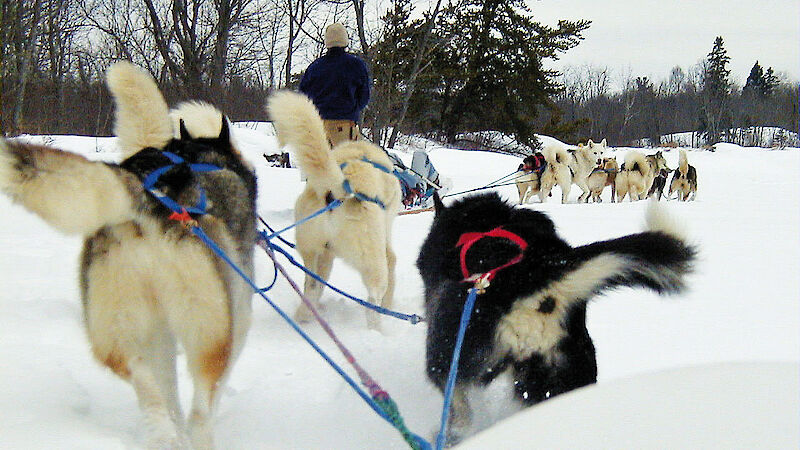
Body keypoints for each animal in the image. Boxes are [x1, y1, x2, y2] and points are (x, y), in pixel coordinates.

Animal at [0, 60, 255, 450]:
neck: (203, 159)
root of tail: (147, 194)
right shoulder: (238, 317)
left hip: (117, 323)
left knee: (145, 378)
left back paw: (163, 430)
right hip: (209, 330)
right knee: (199, 408)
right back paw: (192, 435)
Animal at [266, 92, 400, 330]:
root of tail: (339, 191)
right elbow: (392, 262)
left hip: (313, 251)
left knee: (312, 286)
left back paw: (305, 315)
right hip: (371, 262)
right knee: (373, 297)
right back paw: (376, 328)